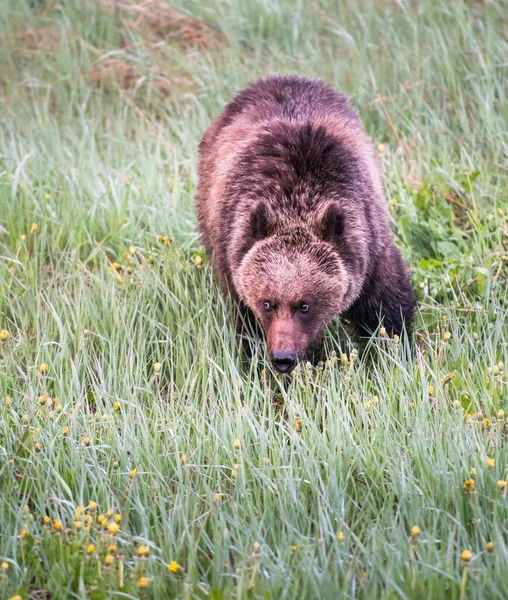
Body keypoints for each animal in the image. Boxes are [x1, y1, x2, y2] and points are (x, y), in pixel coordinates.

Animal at [196, 74, 414, 372]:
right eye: (268, 303)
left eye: (305, 305)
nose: (283, 358)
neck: (297, 200)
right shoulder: (233, 253)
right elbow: (247, 326)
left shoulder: (368, 246)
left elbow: (387, 309)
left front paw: (394, 354)